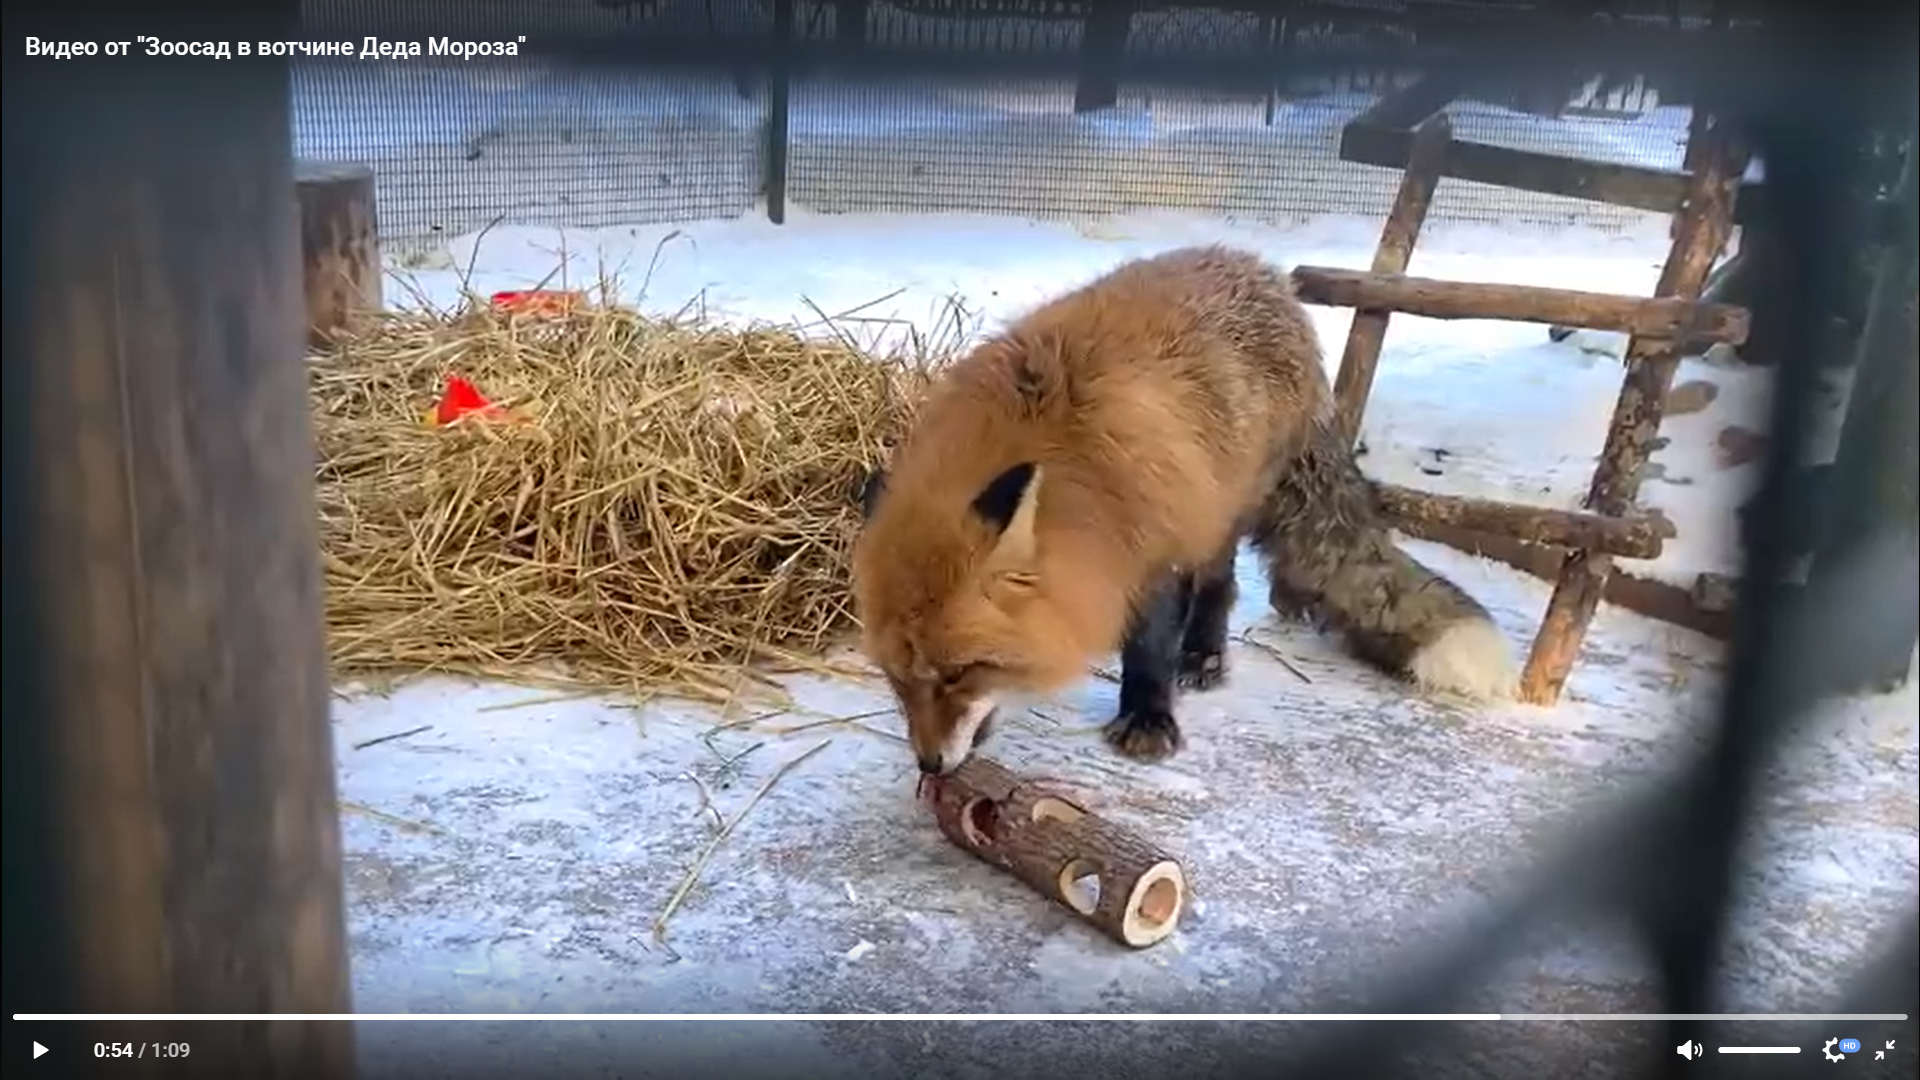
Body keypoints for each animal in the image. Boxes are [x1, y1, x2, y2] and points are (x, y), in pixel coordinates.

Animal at [856, 242, 1512, 772]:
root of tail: (1265, 272)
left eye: (959, 673)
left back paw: (1203, 652)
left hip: (1224, 504)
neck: (1064, 454)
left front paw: (1149, 718)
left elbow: (1149, 647)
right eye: (896, 679)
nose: (931, 765)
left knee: (1221, 582)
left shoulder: (1155, 542)